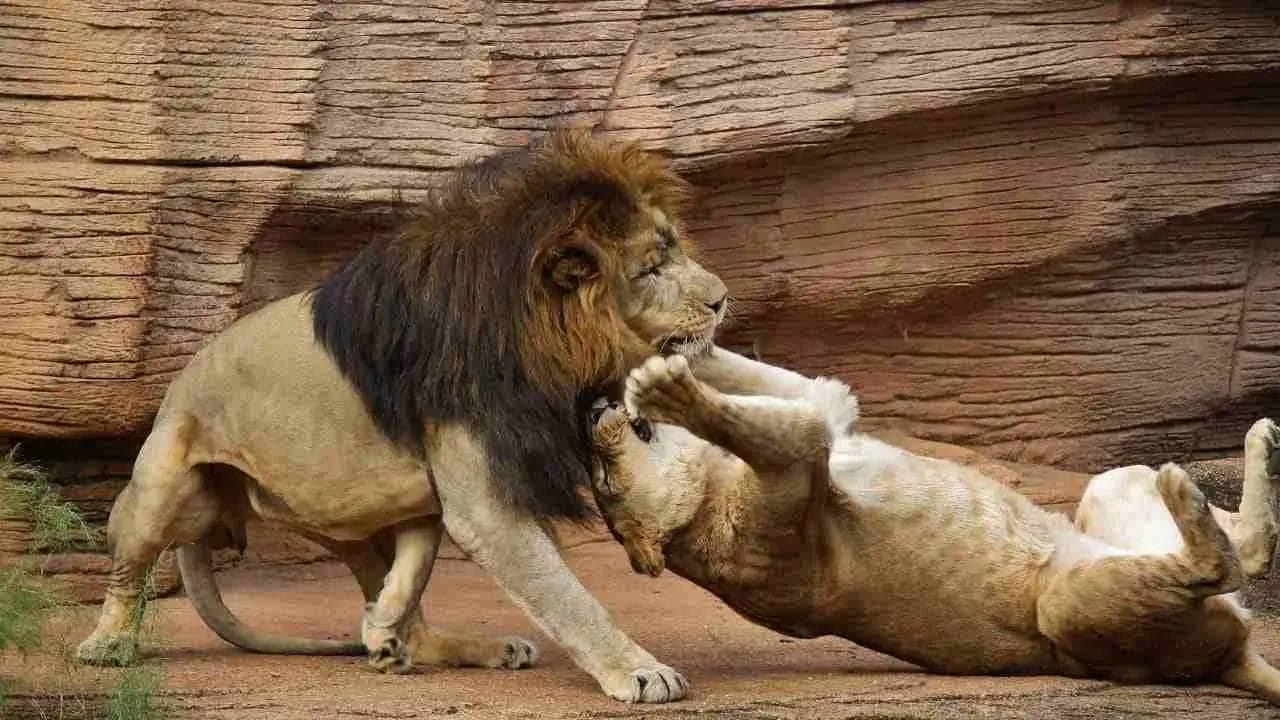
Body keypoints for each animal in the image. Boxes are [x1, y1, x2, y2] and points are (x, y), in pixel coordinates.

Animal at [75, 129, 727, 703]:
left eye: (676, 248)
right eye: (649, 270)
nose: (721, 298)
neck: (545, 343)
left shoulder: (453, 485)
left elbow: (426, 569)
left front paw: (383, 627)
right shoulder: (487, 501)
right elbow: (566, 595)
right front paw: (640, 670)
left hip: (354, 512)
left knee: (407, 587)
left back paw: (416, 640)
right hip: (163, 484)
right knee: (126, 574)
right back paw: (107, 645)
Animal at [587, 349, 1280, 704]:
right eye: (606, 480)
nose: (591, 410)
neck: (708, 488)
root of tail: (1232, 660)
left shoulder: (816, 412)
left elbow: (796, 385)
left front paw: (671, 344)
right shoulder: (796, 463)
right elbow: (751, 417)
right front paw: (663, 385)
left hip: (1107, 490)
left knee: (1246, 549)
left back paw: (1260, 440)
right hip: (1063, 604)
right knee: (1223, 564)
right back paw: (1193, 480)